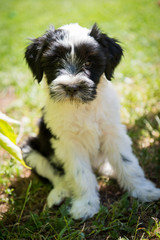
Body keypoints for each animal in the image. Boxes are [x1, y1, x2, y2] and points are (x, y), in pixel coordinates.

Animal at [22, 23, 160, 219]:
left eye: (88, 63)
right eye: (56, 63)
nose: (72, 87)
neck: (82, 107)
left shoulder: (113, 133)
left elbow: (127, 163)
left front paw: (144, 191)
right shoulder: (69, 144)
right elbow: (80, 174)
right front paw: (85, 206)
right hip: (30, 149)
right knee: (56, 175)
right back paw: (59, 193)